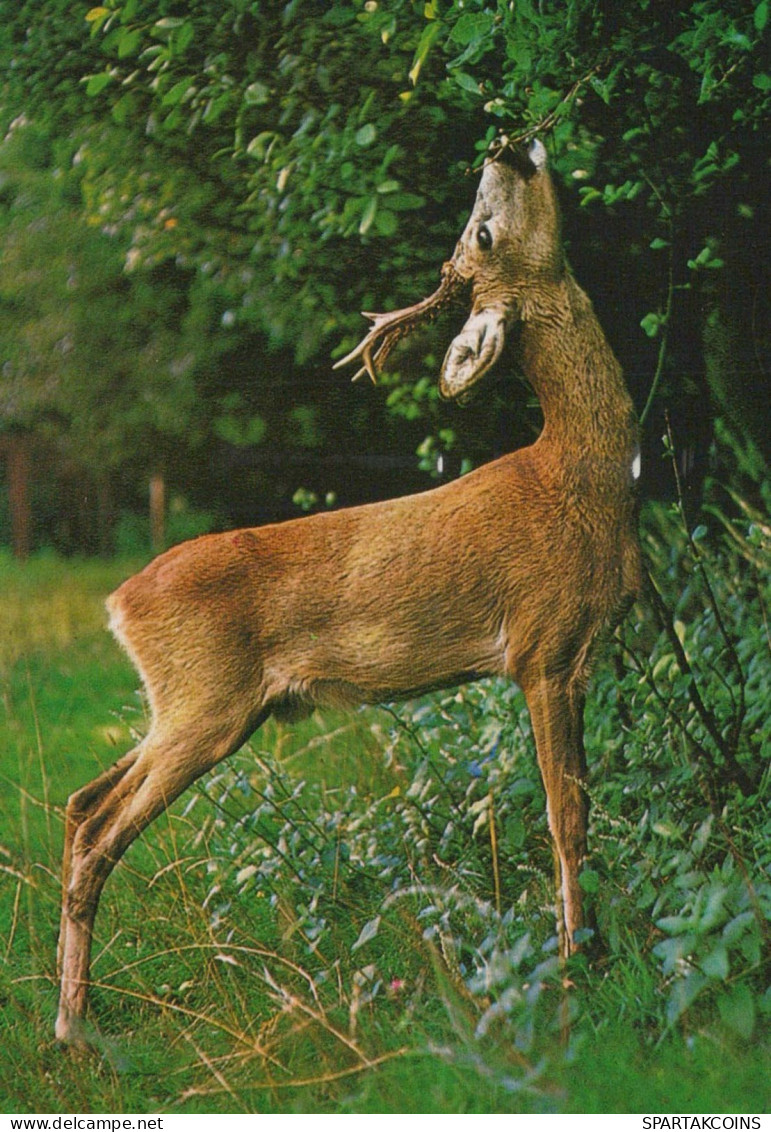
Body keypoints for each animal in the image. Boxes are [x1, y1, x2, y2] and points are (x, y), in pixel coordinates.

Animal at [54, 139, 638, 1041]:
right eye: (483, 229)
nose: (506, 145)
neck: (578, 474)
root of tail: (119, 603)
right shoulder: (543, 648)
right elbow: (564, 812)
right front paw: (582, 959)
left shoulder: (573, 655)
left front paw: (590, 947)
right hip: (204, 703)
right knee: (100, 832)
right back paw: (75, 1028)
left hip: (187, 706)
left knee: (83, 803)